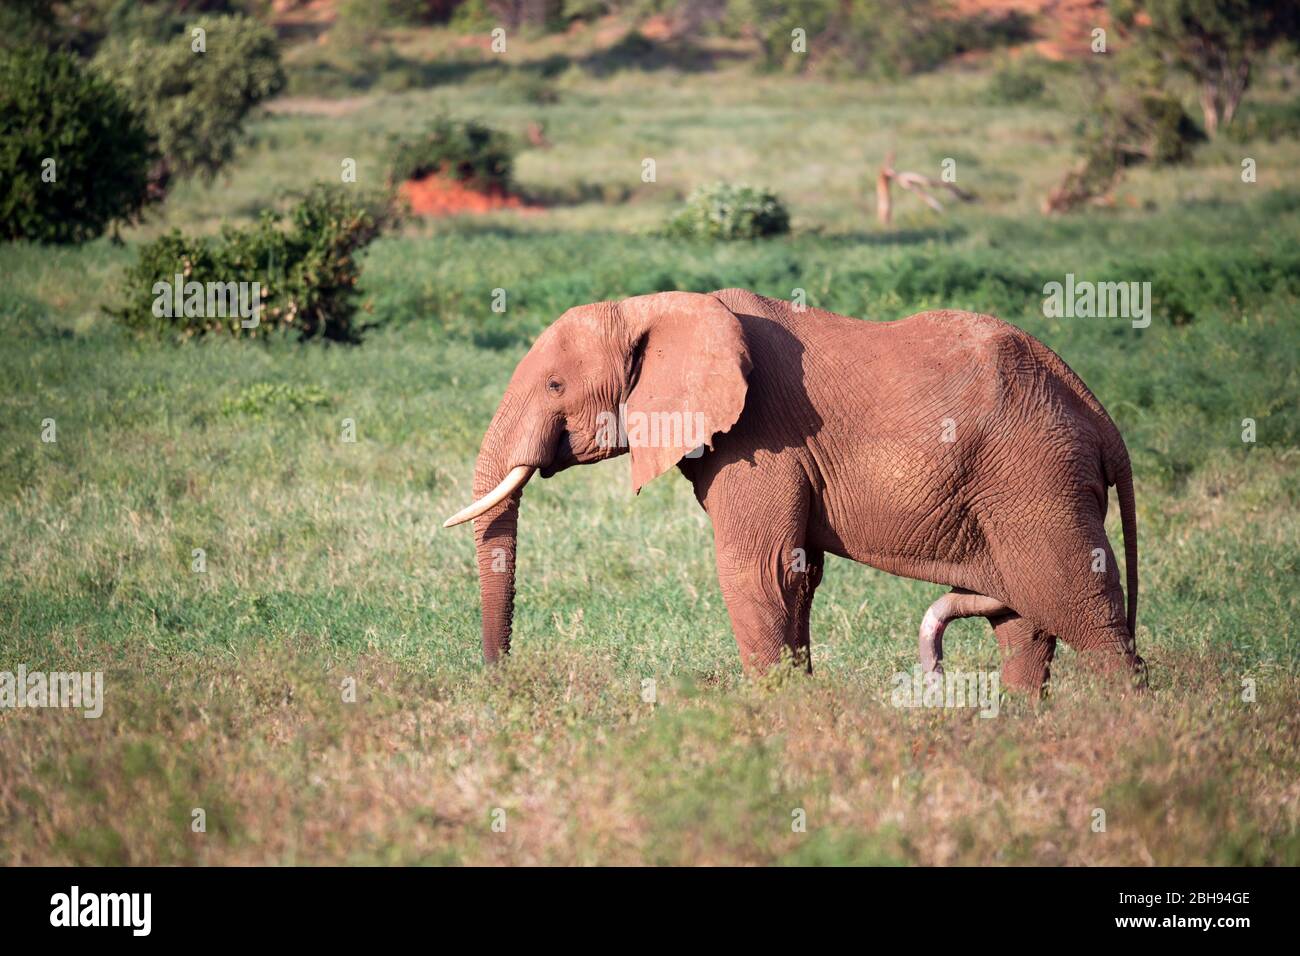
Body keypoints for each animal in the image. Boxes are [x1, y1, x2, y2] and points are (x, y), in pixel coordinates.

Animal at [447, 287, 1149, 691]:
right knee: (1023, 621)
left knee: (1077, 604)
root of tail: (1098, 413)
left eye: (555, 386)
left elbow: (759, 569)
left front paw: (773, 716)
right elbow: (799, 574)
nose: (500, 680)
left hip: (1034, 473)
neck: (661, 305)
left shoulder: (760, 435)